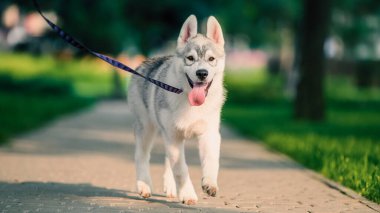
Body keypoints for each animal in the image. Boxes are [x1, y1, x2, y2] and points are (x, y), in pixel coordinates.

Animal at [127, 15, 226, 205]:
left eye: (211, 59)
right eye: (190, 58)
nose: (202, 73)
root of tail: (145, 62)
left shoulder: (209, 134)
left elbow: (212, 161)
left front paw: (209, 183)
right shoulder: (173, 136)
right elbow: (181, 169)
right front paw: (188, 194)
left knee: (167, 159)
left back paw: (171, 187)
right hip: (146, 128)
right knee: (141, 156)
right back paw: (144, 186)